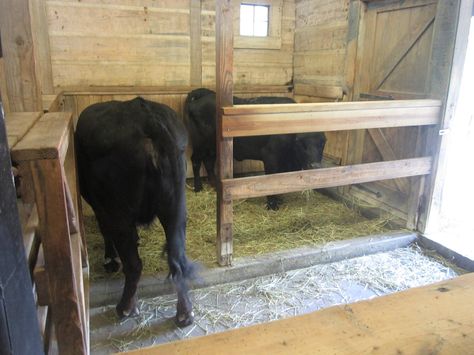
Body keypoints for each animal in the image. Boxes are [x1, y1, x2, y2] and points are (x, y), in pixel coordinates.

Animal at [75, 97, 193, 328]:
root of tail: (145, 115)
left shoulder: (101, 207)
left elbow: (106, 232)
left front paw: (110, 260)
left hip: (118, 211)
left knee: (133, 264)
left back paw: (125, 307)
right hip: (175, 208)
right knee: (178, 259)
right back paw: (185, 313)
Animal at [184, 89, 326, 211]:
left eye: (323, 143)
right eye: (301, 143)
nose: (315, 165)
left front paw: (279, 199)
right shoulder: (270, 157)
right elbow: (271, 178)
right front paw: (272, 204)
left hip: (212, 147)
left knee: (208, 162)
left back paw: (214, 185)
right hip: (200, 145)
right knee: (196, 161)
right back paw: (198, 187)